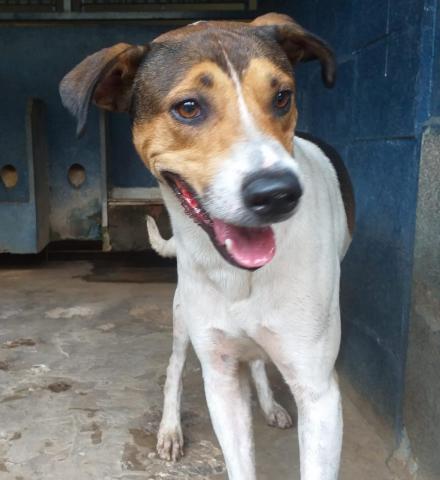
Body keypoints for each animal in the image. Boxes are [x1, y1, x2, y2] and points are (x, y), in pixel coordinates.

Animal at [60, 12, 354, 480]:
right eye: (188, 107)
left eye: (282, 97)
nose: (278, 194)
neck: (237, 276)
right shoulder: (219, 377)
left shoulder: (319, 391)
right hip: (183, 315)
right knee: (174, 368)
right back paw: (170, 429)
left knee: (256, 359)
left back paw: (269, 405)